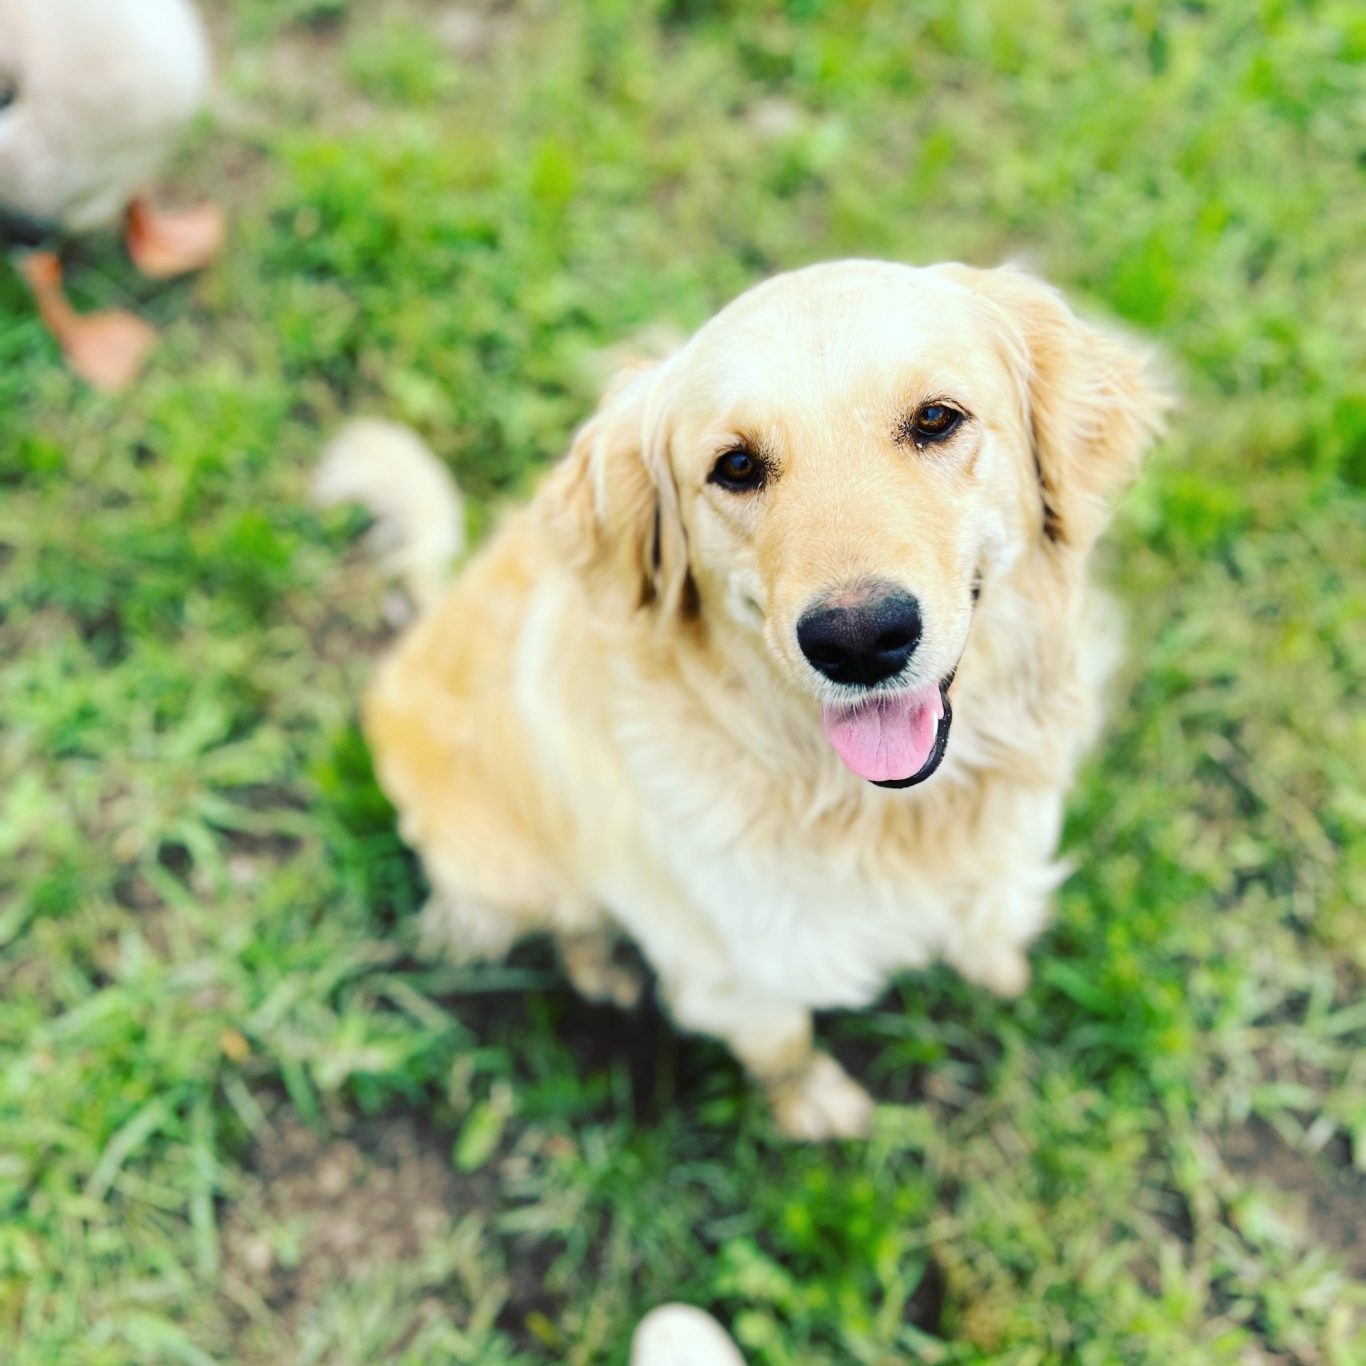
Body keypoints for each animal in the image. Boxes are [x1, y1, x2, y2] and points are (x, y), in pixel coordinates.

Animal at [317, 260, 1167, 1140]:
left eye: (936, 419)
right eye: (736, 466)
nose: (859, 639)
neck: (886, 813)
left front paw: (997, 959)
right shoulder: (733, 970)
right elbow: (782, 1044)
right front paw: (814, 1107)